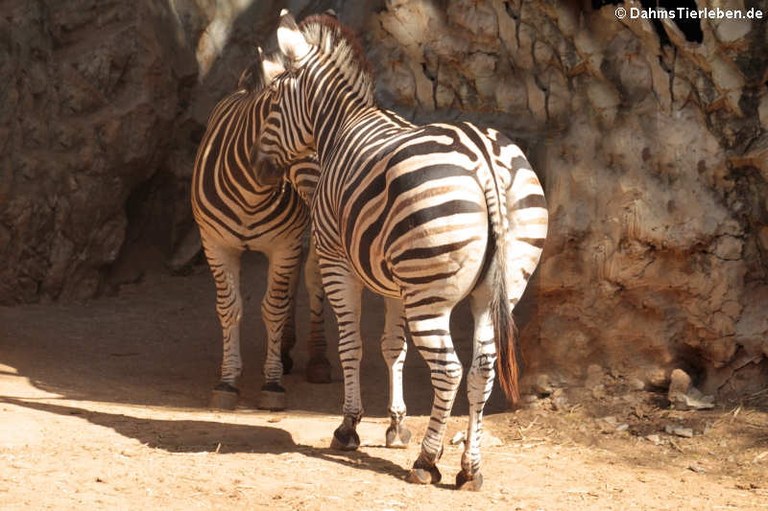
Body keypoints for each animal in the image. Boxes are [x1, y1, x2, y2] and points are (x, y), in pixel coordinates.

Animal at [191, 51, 330, 412]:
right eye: (306, 143)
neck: (252, 193)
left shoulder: (285, 243)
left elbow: (274, 308)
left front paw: (272, 383)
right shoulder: (216, 244)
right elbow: (230, 308)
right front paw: (227, 381)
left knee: (312, 279)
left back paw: (317, 359)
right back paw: (285, 349)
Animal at [254, 12, 552, 492]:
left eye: (274, 103)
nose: (261, 170)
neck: (341, 126)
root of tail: (483, 157)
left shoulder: (340, 265)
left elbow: (352, 345)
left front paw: (349, 427)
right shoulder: (394, 283)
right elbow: (393, 347)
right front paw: (394, 425)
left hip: (428, 294)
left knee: (448, 370)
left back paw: (427, 462)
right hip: (498, 287)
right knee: (481, 369)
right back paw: (470, 468)